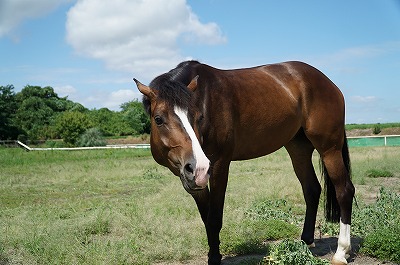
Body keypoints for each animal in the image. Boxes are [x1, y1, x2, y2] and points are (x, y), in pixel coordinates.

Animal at [135, 60, 356, 264]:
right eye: (158, 119)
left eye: (199, 117)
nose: (198, 167)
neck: (206, 97)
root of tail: (328, 82)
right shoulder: (193, 180)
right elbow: (206, 216)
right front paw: (213, 254)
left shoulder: (219, 165)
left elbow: (214, 217)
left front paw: (214, 259)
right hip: (298, 149)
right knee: (311, 190)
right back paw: (305, 242)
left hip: (329, 149)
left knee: (344, 191)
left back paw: (341, 252)